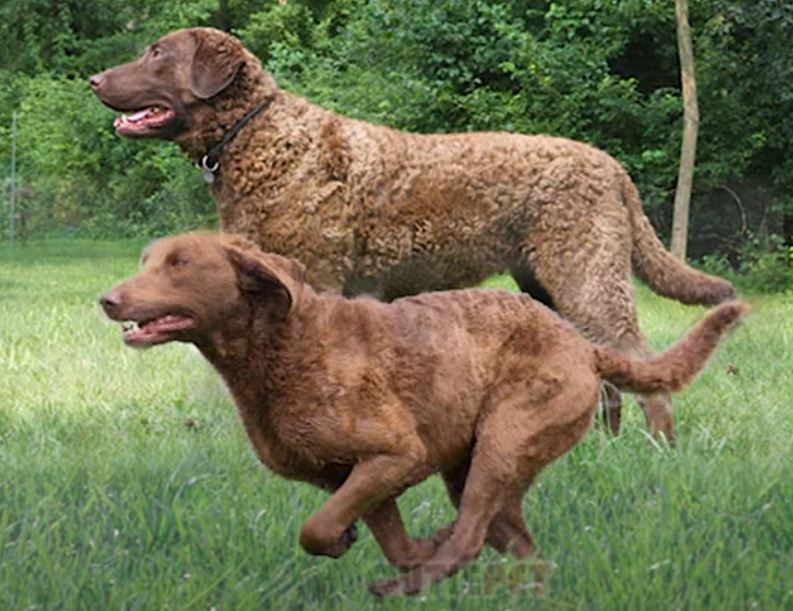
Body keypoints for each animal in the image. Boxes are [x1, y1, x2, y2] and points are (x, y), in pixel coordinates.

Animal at [88, 28, 736, 442]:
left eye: (156, 53)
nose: (93, 79)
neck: (264, 140)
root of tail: (611, 165)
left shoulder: (315, 275)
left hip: (587, 276)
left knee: (639, 363)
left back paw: (655, 450)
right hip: (552, 284)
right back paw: (599, 447)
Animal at [100, 232, 748, 596]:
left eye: (180, 264)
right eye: (148, 259)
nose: (107, 298)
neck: (283, 347)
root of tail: (584, 346)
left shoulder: (397, 454)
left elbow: (316, 531)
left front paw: (365, 549)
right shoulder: (352, 477)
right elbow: (368, 533)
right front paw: (381, 544)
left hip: (503, 441)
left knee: (471, 537)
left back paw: (415, 578)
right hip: (474, 467)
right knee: (516, 549)